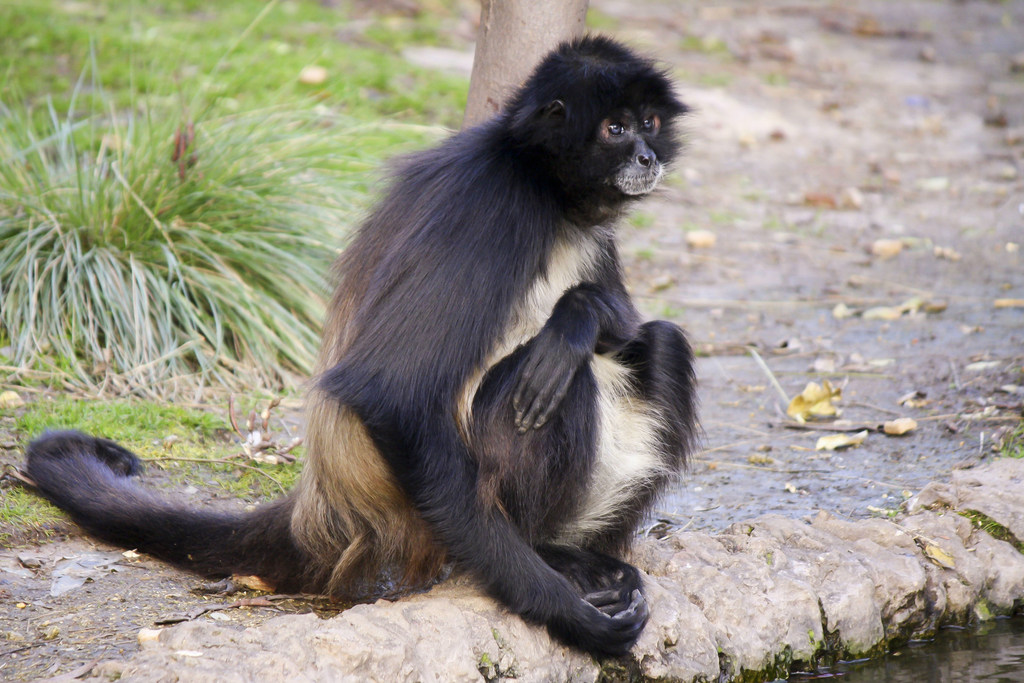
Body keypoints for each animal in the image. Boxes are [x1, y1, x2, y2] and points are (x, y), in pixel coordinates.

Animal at [25, 36, 697, 657]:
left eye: (649, 123)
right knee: (558, 371)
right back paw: (548, 554)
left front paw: (586, 311)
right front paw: (561, 611)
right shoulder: (490, 200)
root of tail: (322, 508)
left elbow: (622, 318)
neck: (546, 189)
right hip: (434, 521)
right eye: (614, 128)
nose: (646, 155)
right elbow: (390, 393)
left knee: (658, 342)